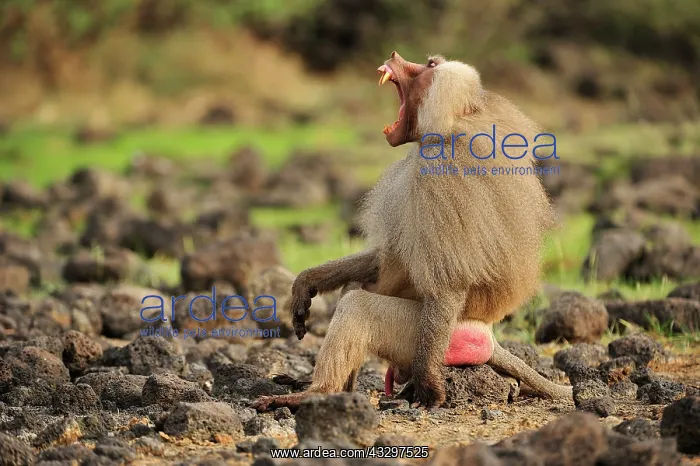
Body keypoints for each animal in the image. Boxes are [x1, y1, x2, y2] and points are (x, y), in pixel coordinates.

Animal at [252, 51, 572, 412]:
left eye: (430, 67)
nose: (395, 56)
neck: (452, 127)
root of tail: (487, 334)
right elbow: (384, 255)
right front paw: (307, 283)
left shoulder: (440, 177)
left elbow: (448, 282)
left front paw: (429, 385)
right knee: (354, 288)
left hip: (420, 334)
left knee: (357, 307)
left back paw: (316, 392)